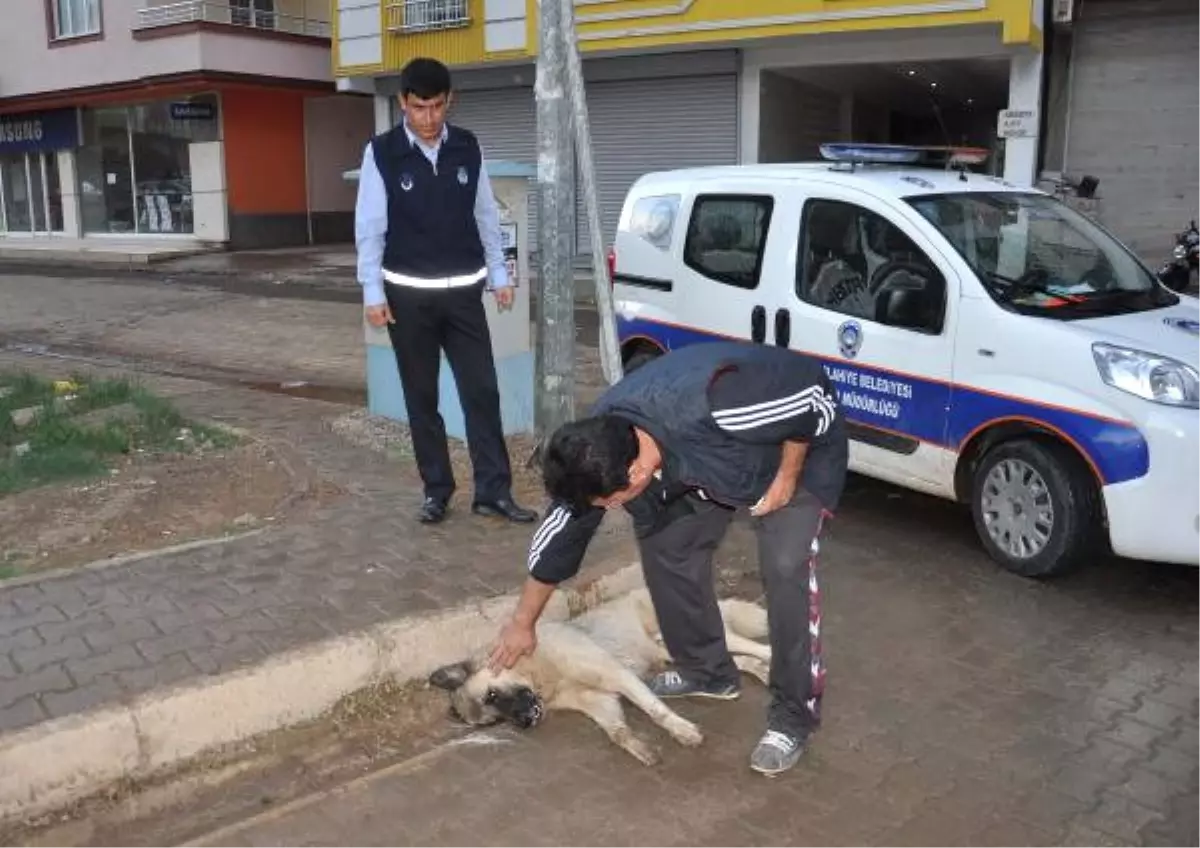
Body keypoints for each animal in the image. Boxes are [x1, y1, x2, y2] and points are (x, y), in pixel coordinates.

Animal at [427, 587, 772, 767]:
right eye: (493, 721)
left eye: (492, 695)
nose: (524, 722)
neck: (540, 671)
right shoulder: (600, 701)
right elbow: (616, 732)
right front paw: (638, 746)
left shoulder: (616, 674)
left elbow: (655, 709)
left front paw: (682, 731)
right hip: (674, 653)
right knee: (739, 662)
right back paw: (762, 673)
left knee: (759, 647)